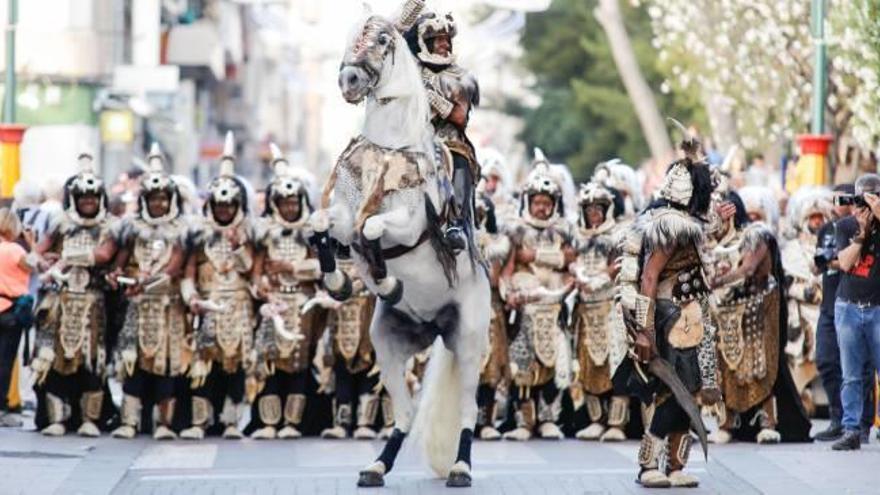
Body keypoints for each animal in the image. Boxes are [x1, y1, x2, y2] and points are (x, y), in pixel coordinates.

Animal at [308, 5, 488, 490]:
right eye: (352, 35)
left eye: (383, 40)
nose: (349, 80)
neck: (390, 146)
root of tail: (436, 327)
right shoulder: (341, 212)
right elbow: (321, 228)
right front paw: (336, 279)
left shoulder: (407, 225)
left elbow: (372, 230)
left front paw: (386, 282)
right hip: (390, 344)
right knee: (404, 416)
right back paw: (376, 466)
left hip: (469, 341)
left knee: (469, 409)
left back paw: (461, 468)